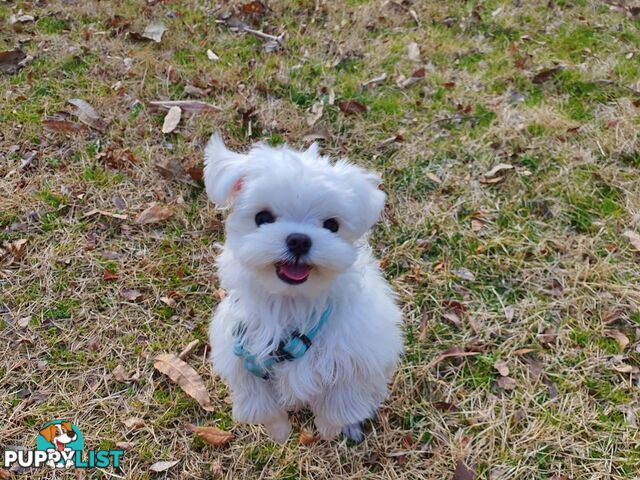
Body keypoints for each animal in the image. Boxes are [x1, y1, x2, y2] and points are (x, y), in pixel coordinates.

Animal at [205, 134, 402, 442]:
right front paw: (278, 430)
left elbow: (340, 401)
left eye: (332, 225)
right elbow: (260, 402)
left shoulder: (354, 357)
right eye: (262, 217)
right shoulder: (241, 351)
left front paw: (332, 428)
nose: (299, 240)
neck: (292, 302)